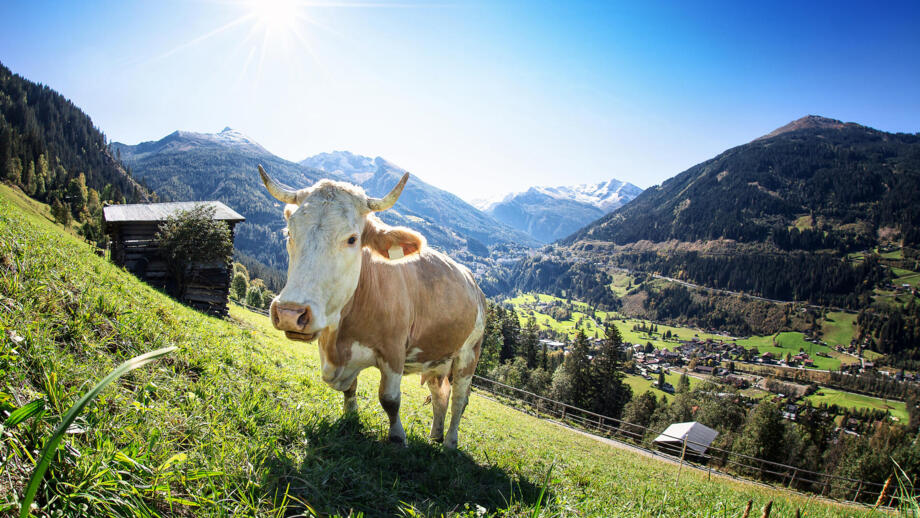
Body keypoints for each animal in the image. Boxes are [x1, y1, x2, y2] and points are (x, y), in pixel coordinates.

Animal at [259, 165, 486, 449]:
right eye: (289, 233)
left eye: (352, 239)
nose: (290, 313)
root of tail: (474, 284)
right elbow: (350, 389)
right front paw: (350, 418)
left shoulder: (394, 351)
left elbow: (389, 399)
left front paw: (397, 437)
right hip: (437, 359)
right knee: (440, 395)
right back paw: (435, 435)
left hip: (469, 354)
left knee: (458, 400)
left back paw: (450, 443)